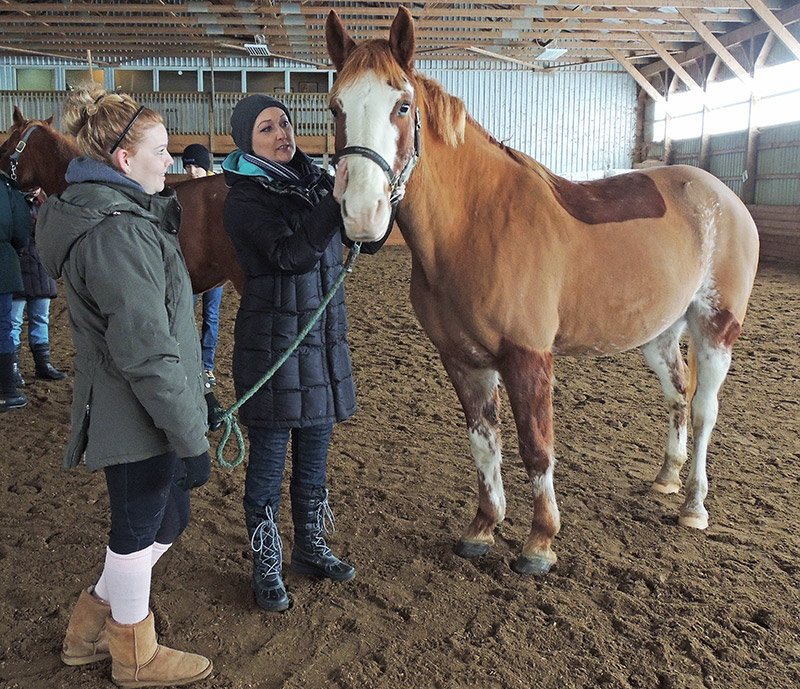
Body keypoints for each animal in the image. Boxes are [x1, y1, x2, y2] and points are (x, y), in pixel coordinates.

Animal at [325, 8, 760, 575]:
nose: (361, 215)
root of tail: (721, 195)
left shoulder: (528, 357)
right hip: (658, 334)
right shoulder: (462, 360)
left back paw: (693, 505)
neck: (475, 225)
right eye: (335, 106)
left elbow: (536, 448)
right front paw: (482, 529)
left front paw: (539, 543)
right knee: (677, 394)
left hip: (715, 328)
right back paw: (667, 478)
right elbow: (484, 445)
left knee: (706, 408)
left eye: (402, 105)